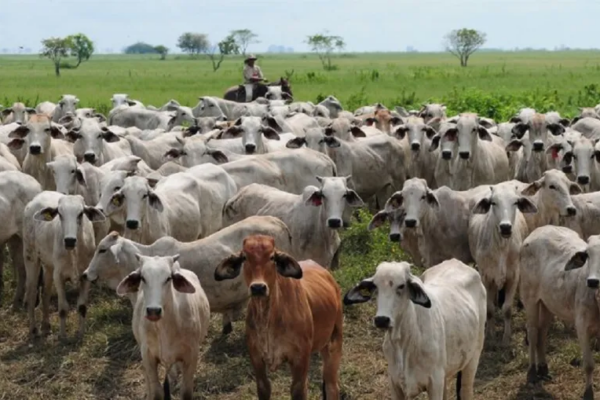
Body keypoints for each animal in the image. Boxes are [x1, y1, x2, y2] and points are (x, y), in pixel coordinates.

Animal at [216, 234, 342, 400]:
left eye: (271, 257)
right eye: (244, 258)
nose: (258, 287)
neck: (267, 319)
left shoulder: (300, 359)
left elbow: (298, 390)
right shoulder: (256, 358)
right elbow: (264, 387)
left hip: (334, 342)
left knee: (332, 386)